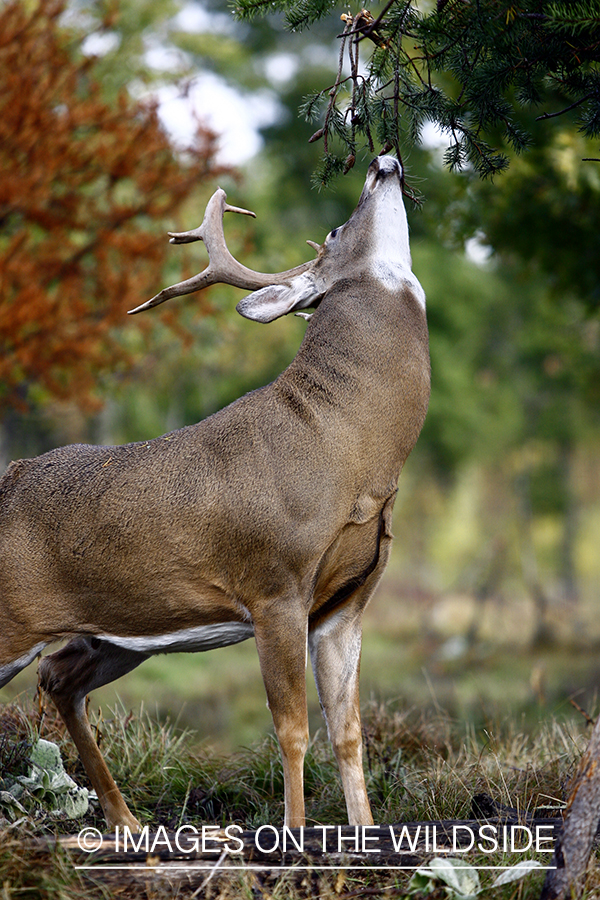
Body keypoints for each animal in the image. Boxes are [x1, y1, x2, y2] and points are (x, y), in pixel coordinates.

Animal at [1, 153, 432, 828]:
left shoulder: (347, 603)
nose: (382, 160)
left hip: (122, 629)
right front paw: (293, 835)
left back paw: (127, 822)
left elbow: (348, 732)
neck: (350, 453)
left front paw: (362, 833)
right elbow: (292, 730)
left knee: (59, 678)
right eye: (337, 229)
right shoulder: (274, 586)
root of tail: (10, 473)